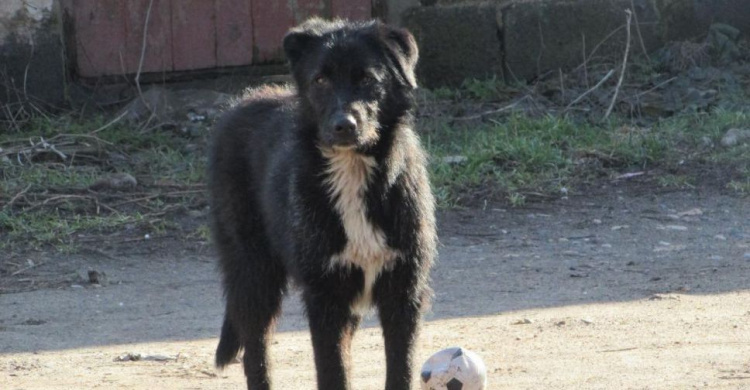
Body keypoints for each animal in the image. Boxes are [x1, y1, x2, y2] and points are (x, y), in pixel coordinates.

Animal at [209, 18, 438, 390]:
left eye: (367, 78)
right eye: (320, 80)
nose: (344, 125)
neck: (353, 171)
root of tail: (239, 103)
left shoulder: (403, 293)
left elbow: (399, 370)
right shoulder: (325, 299)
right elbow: (333, 372)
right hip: (253, 272)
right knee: (256, 353)